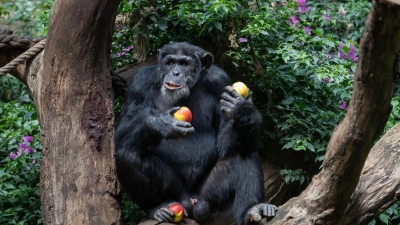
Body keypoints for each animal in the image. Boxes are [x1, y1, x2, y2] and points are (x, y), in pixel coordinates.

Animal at [115, 42, 278, 225]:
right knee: (128, 155)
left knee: (244, 151)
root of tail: (193, 202)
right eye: (170, 62)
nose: (175, 73)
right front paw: (162, 123)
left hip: (208, 195)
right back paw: (159, 207)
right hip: (178, 193)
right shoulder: (140, 82)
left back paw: (252, 208)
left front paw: (243, 110)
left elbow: (223, 140)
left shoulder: (220, 81)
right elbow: (124, 128)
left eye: (184, 64)